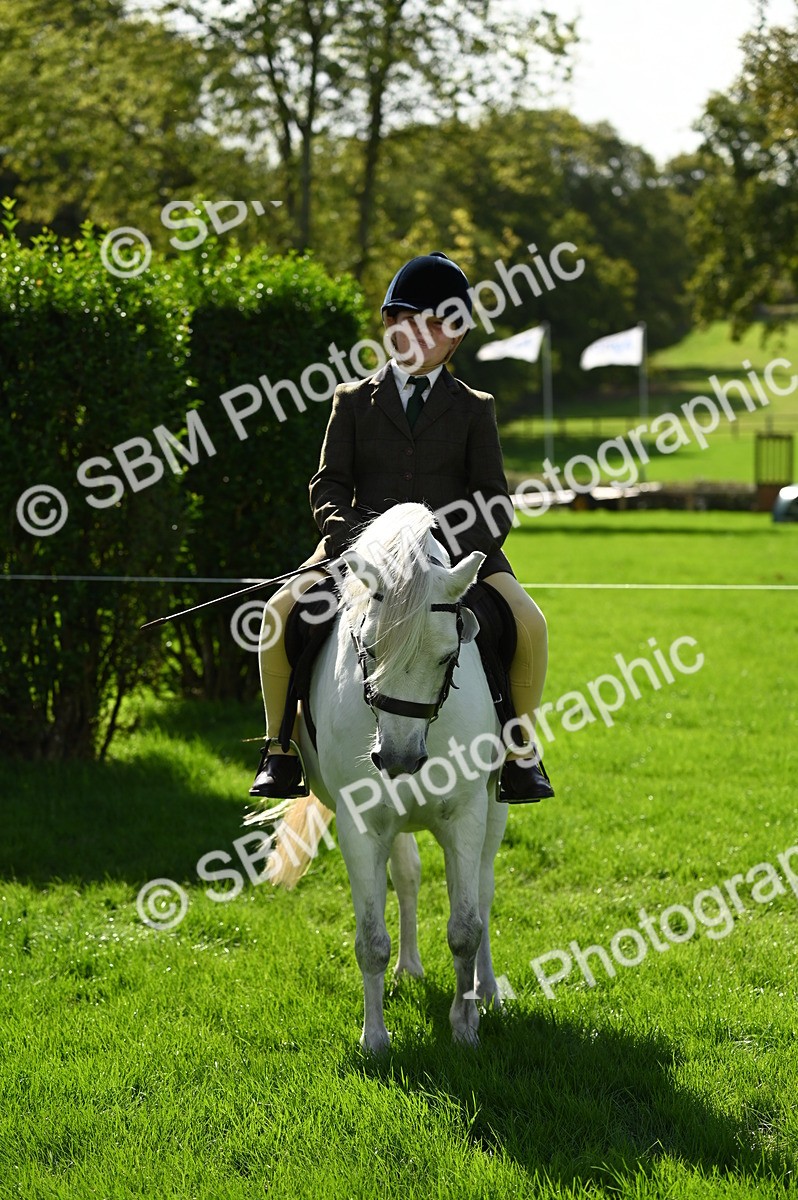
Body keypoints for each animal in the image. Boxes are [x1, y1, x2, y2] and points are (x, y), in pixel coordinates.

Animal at [255, 502, 510, 1053]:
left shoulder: (466, 815)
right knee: (408, 875)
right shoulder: (362, 824)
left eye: (448, 655)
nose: (397, 758)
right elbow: (370, 938)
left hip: (495, 806)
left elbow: (466, 926)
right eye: (367, 648)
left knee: (483, 888)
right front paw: (374, 1039)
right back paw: (409, 969)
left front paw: (465, 1027)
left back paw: (488, 991)